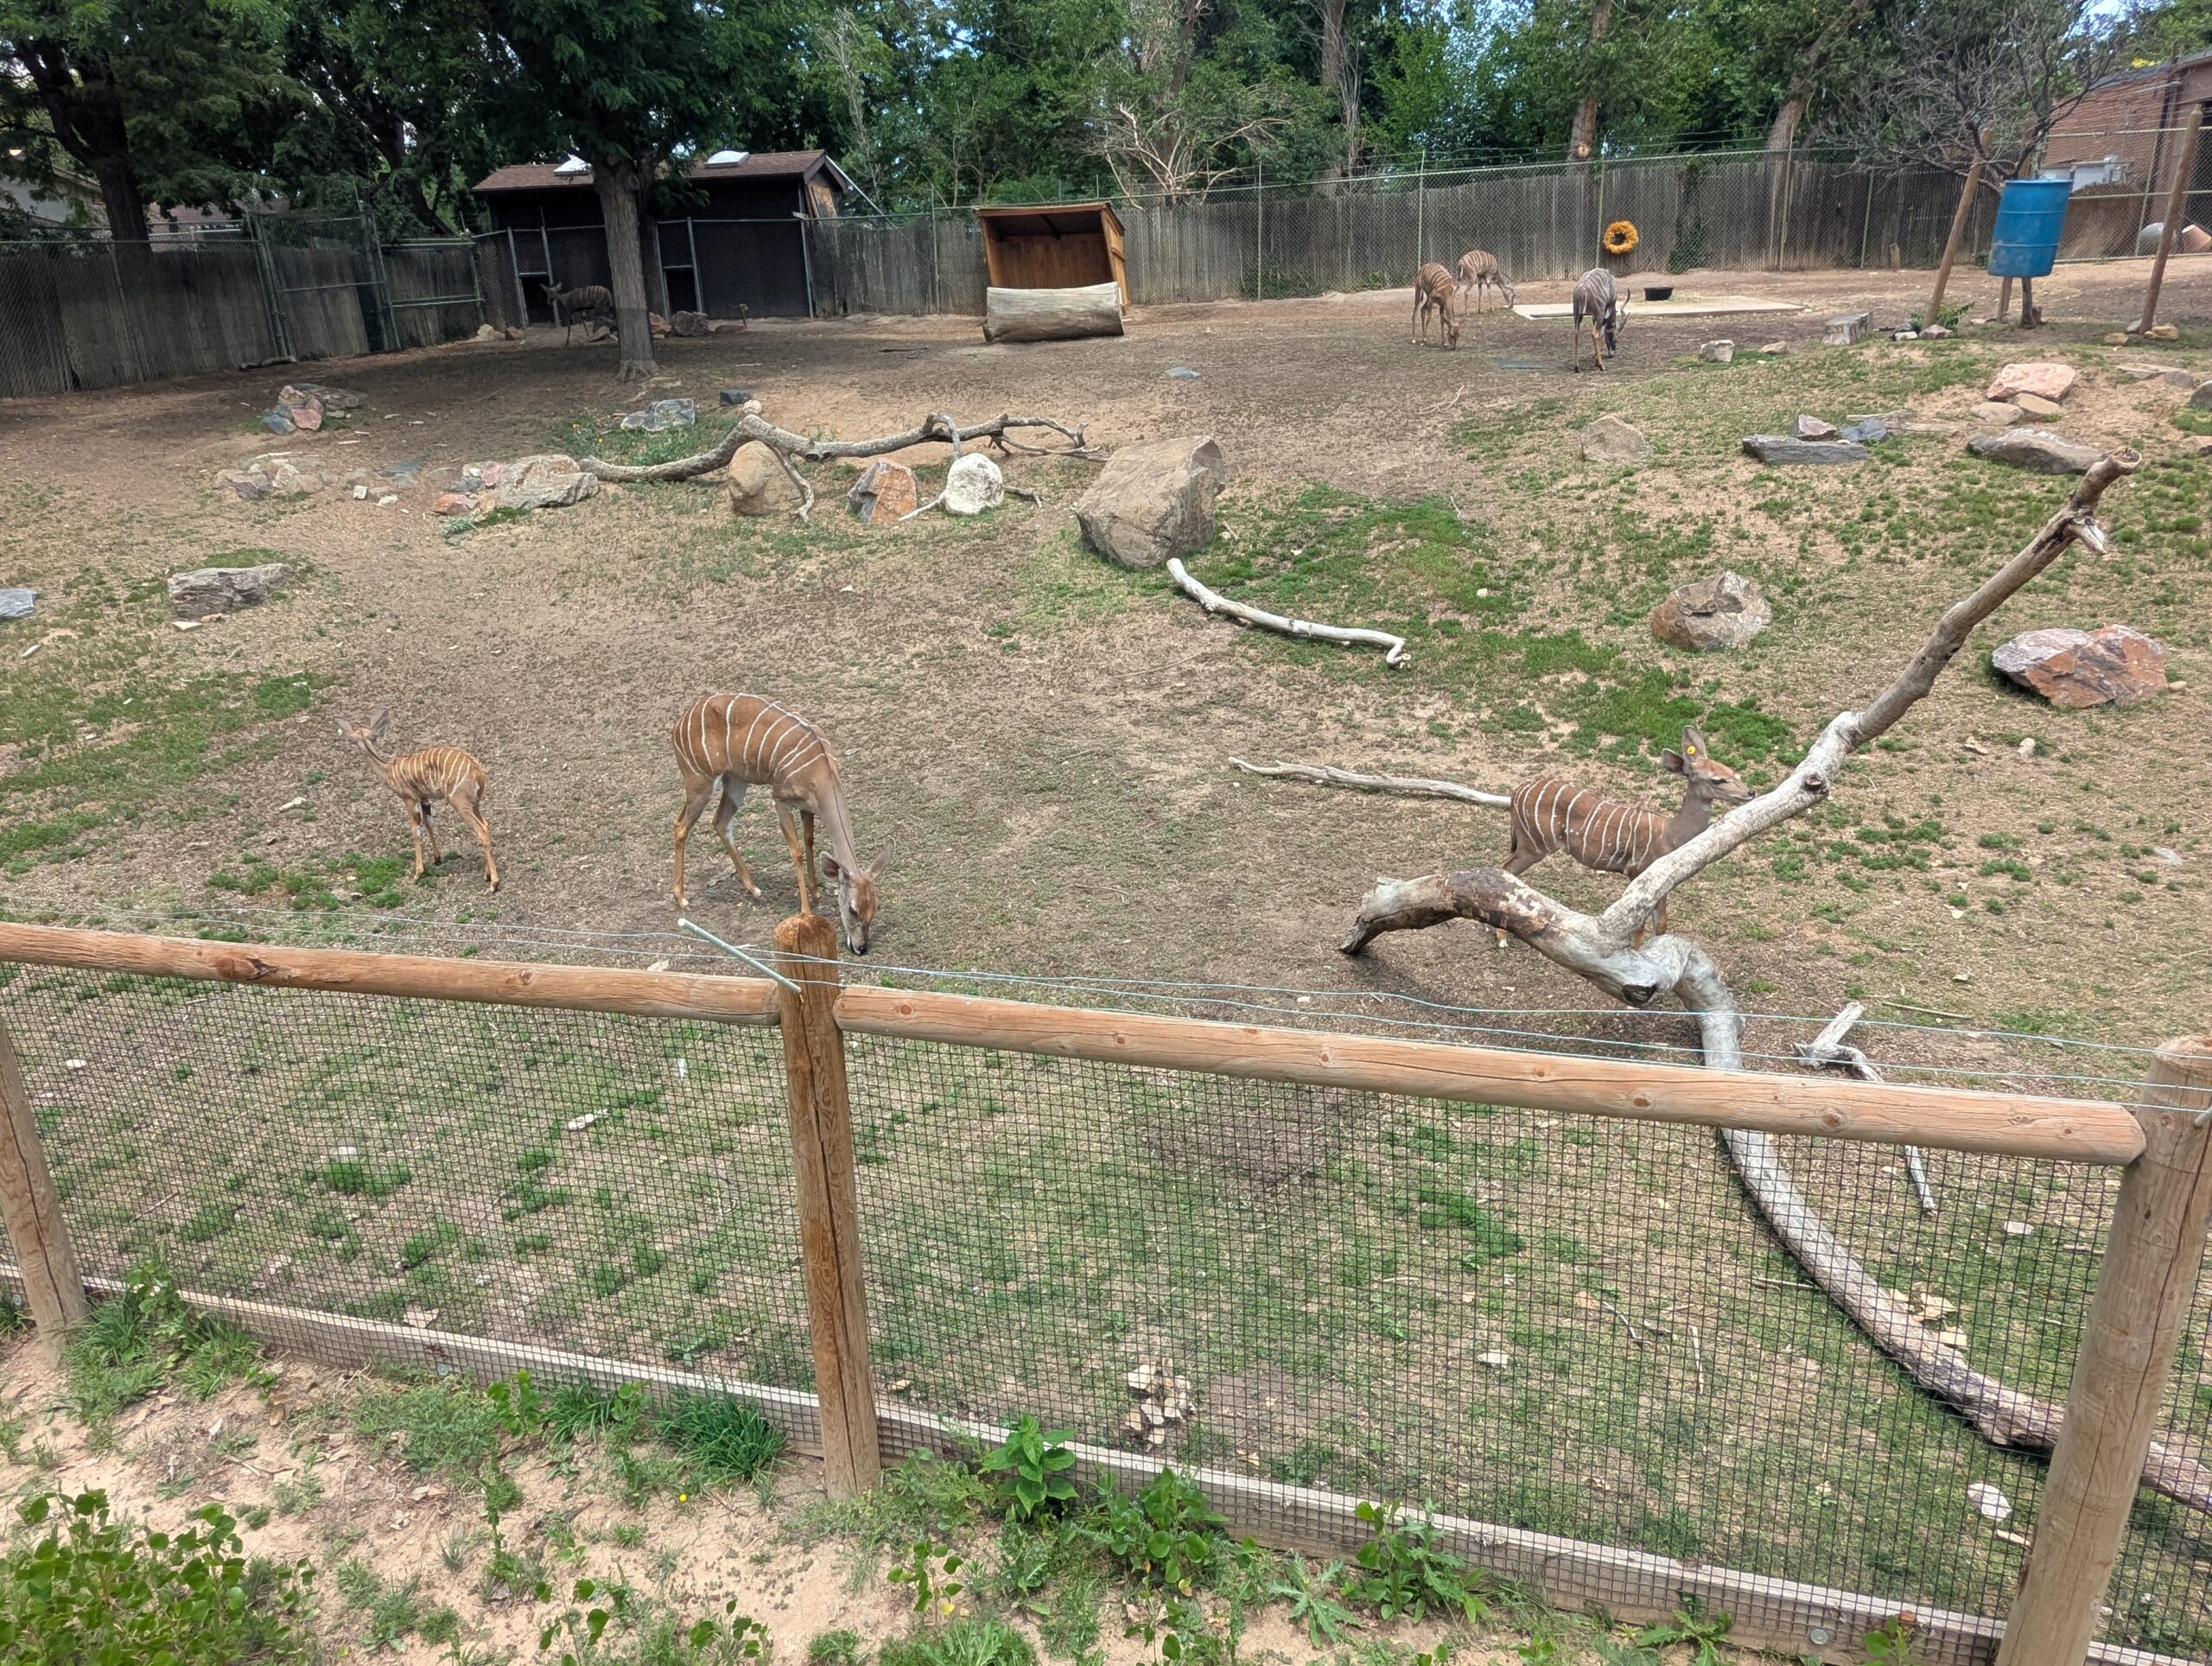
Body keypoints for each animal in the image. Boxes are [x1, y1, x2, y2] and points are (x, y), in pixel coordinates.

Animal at [337, 711, 500, 891]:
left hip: (459, 802)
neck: (389, 770)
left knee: (481, 830)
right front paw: (437, 859)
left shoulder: (409, 799)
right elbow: (429, 823)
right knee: (485, 824)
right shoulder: (424, 798)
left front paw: (417, 874)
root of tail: (477, 771)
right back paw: (487, 874)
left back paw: (494, 883)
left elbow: (415, 831)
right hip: (474, 803)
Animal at [669, 693, 882, 955]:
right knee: (680, 825)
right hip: (700, 781)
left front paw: (816, 892)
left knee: (721, 822)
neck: (821, 770)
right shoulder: (781, 799)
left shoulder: (807, 807)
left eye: (874, 908)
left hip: (736, 780)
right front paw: (806, 910)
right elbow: (796, 851)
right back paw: (681, 897)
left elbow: (809, 841)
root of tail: (681, 720)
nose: (861, 948)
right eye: (853, 909)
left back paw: (754, 889)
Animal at [1498, 726, 1751, 946]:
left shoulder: (1662, 885)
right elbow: (1639, 927)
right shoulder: (1637, 874)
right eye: (1717, 779)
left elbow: (1661, 924)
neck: (1670, 834)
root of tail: (1516, 793)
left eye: (1731, 771)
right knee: (1507, 870)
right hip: (1534, 845)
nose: (1751, 792)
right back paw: (1501, 937)